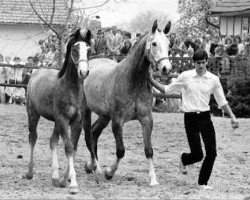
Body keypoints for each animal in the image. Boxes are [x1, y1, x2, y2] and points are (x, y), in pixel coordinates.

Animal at [25, 28, 94, 194]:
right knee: (33, 138)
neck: (71, 89)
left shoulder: (76, 122)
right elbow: (68, 147)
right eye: (75, 49)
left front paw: (63, 180)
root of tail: (35, 72)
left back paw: (55, 177)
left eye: (89, 50)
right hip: (33, 114)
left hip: (56, 121)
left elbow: (73, 147)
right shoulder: (63, 119)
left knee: (53, 141)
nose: (83, 72)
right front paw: (73, 184)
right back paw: (30, 172)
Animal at [84, 20, 172, 186]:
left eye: (169, 44)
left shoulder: (146, 120)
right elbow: (121, 150)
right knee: (88, 136)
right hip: (87, 112)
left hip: (104, 116)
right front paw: (109, 172)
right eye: (154, 43)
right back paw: (96, 168)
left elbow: (148, 150)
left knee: (94, 133)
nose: (166, 68)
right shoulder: (117, 121)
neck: (133, 80)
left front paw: (153, 179)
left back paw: (91, 165)